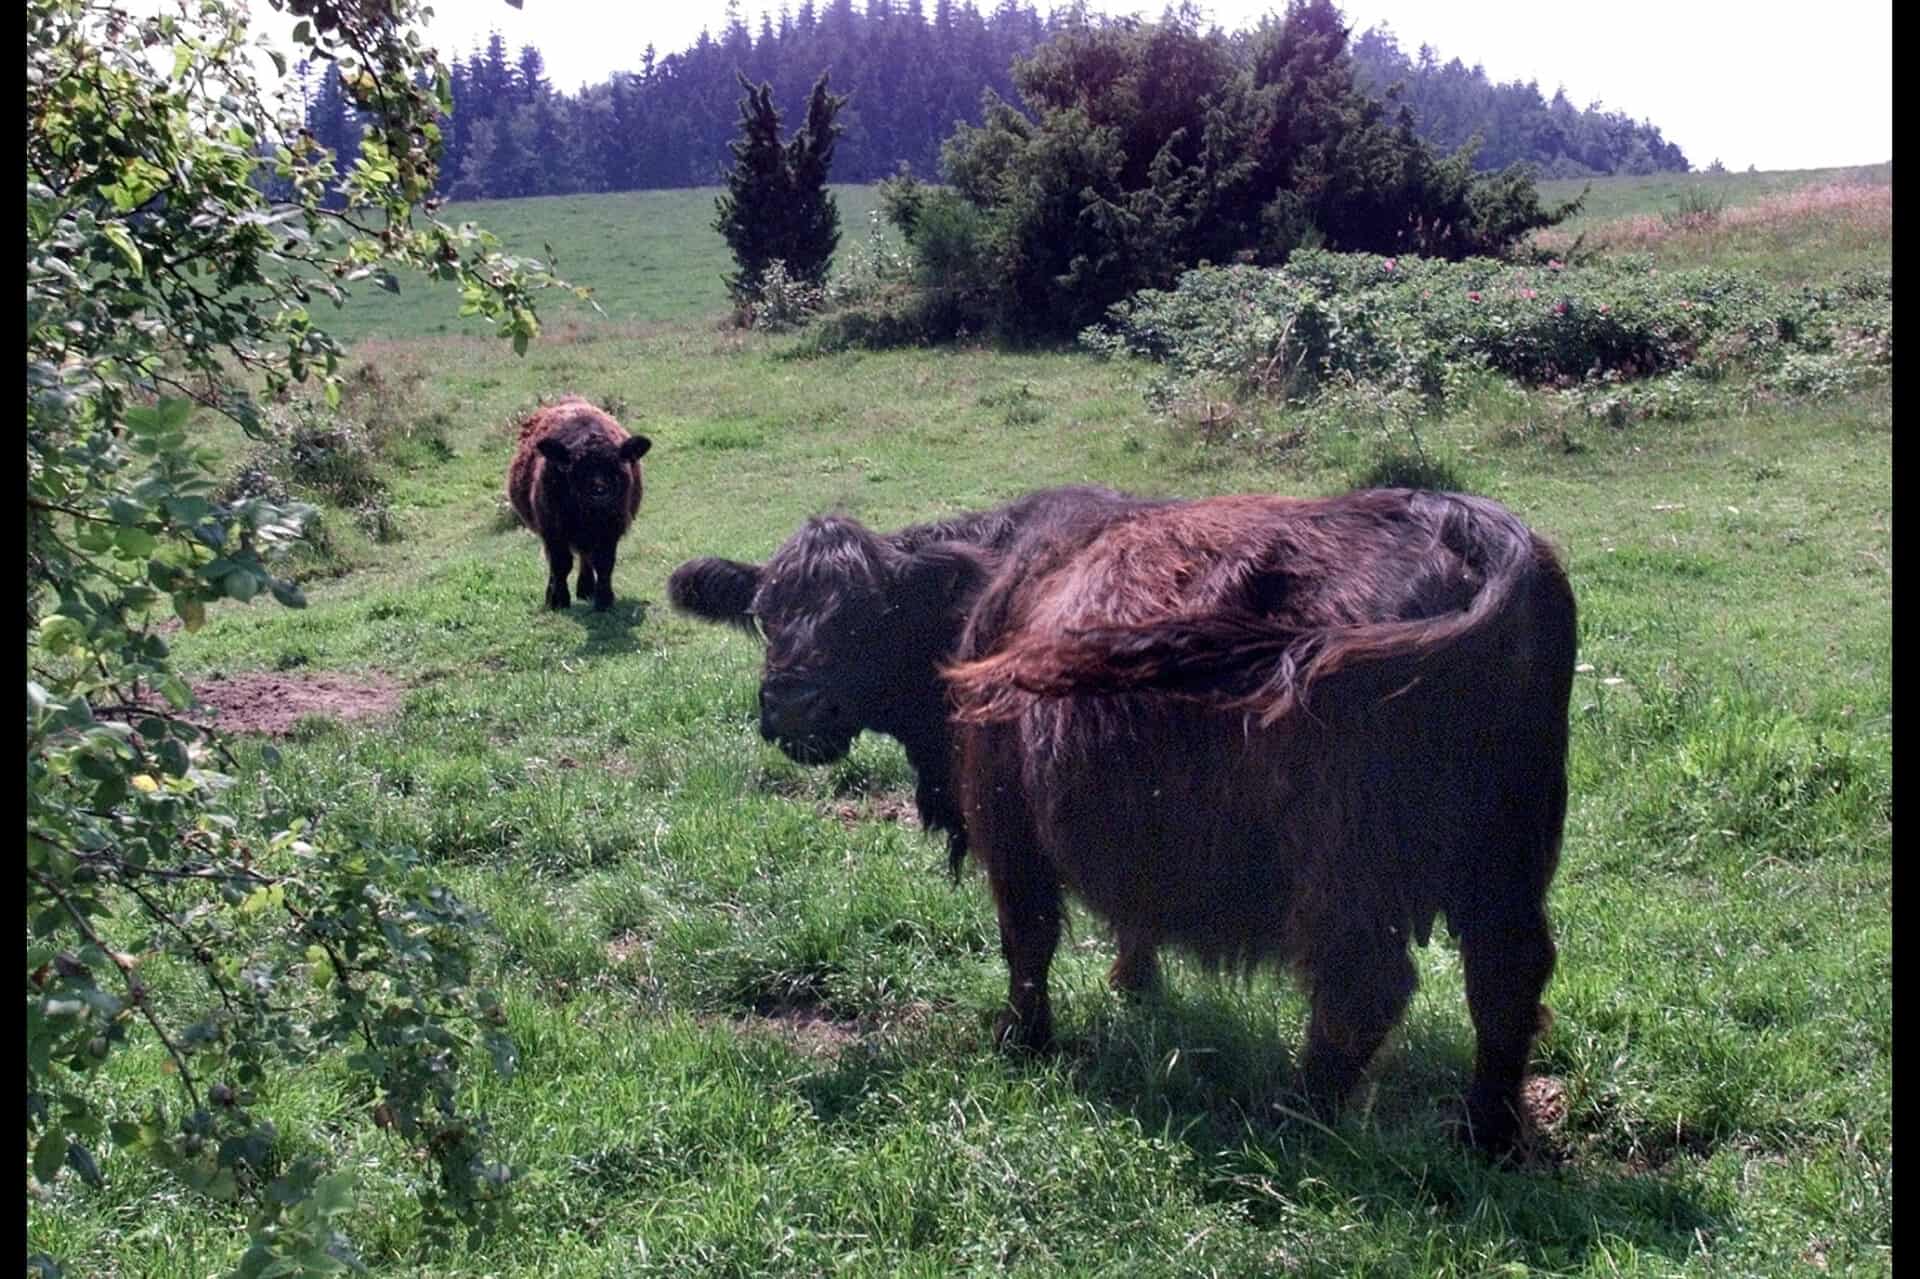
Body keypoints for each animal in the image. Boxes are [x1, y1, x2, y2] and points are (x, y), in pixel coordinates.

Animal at [503, 395, 652, 610]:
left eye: (616, 465)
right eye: (577, 468)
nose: (599, 492)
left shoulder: (610, 529)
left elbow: (604, 562)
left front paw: (604, 599)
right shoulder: (553, 530)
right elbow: (560, 565)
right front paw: (560, 600)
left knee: (585, 557)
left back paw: (586, 588)